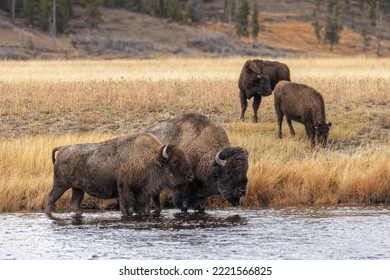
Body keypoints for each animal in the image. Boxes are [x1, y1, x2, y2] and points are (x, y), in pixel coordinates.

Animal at [45, 132, 192, 215]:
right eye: (174, 161)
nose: (190, 176)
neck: (148, 159)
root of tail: (63, 149)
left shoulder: (142, 193)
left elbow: (143, 209)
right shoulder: (125, 191)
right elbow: (128, 209)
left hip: (78, 188)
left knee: (74, 203)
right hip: (61, 184)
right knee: (51, 198)